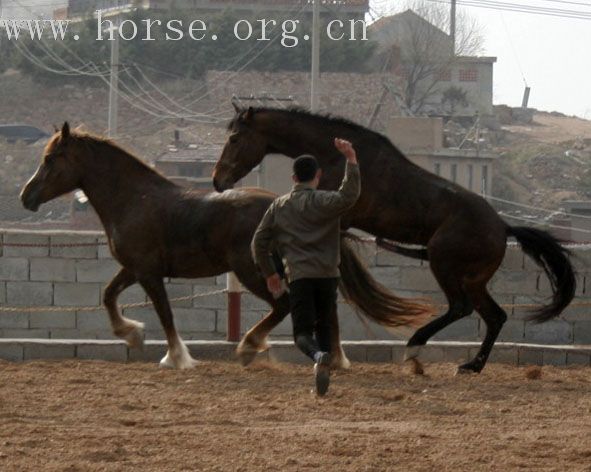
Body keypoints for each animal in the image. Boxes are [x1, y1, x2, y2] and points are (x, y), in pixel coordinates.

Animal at [20, 121, 432, 368]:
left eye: (51, 158)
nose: (26, 196)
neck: (134, 199)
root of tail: (280, 203)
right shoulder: (134, 268)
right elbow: (108, 295)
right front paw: (132, 334)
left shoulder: (150, 274)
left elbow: (165, 315)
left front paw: (176, 357)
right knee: (318, 305)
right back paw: (327, 356)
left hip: (254, 271)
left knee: (284, 305)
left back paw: (252, 346)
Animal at [213, 105, 580, 374]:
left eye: (235, 138)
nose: (218, 180)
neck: (335, 157)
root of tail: (503, 227)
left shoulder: (336, 214)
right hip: (474, 279)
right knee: (494, 316)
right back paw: (472, 365)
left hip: (444, 264)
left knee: (460, 308)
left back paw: (415, 348)